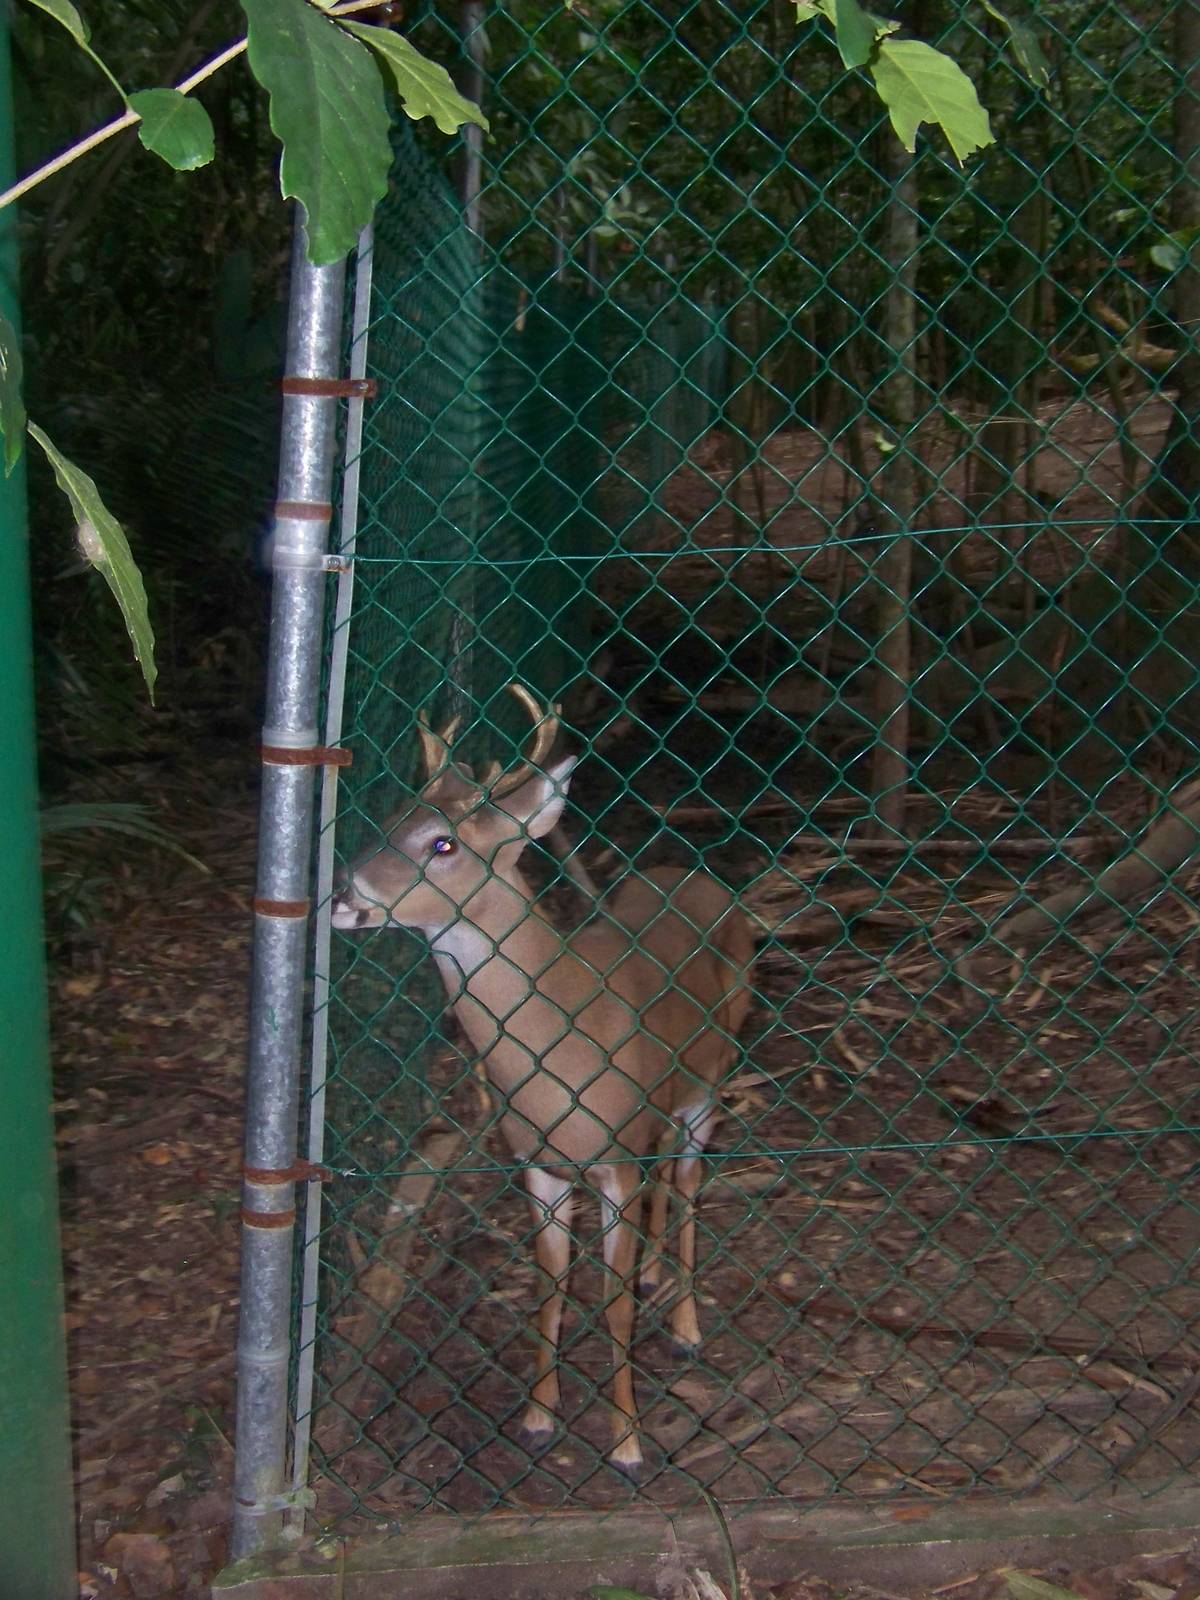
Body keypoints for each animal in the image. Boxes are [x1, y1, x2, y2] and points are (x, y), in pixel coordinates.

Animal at [330, 685, 755, 1477]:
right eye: (392, 822)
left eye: (443, 844)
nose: (343, 895)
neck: (554, 1060)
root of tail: (700, 878)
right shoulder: (536, 1162)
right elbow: (549, 1282)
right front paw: (537, 1414)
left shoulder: (612, 1160)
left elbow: (611, 1299)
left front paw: (626, 1441)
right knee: (666, 1177)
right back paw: (658, 1278)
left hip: (712, 1080)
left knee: (687, 1181)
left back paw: (685, 1321)